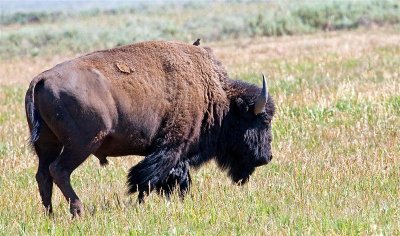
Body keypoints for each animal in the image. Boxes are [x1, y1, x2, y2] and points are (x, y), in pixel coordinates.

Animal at [25, 40, 276, 218]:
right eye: (262, 121)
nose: (267, 157)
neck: (214, 94)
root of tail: (40, 79)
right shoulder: (173, 147)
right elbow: (150, 177)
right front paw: (144, 202)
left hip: (47, 144)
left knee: (43, 174)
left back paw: (49, 215)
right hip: (81, 144)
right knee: (59, 170)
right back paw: (78, 211)